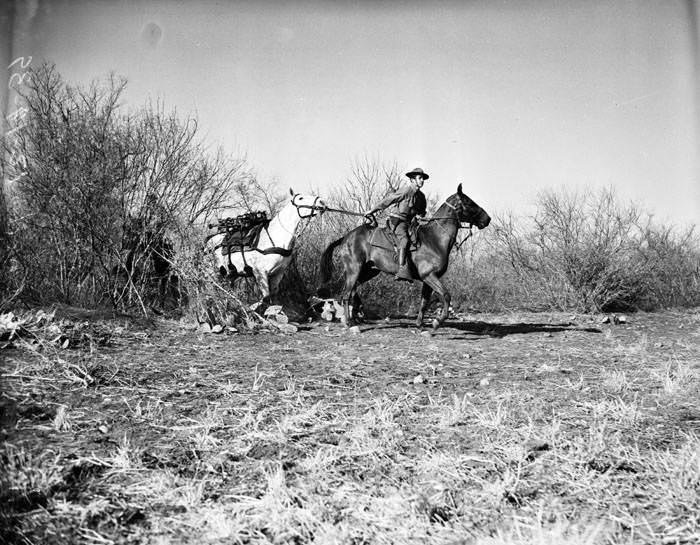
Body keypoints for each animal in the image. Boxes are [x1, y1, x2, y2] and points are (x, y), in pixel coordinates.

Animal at [320, 183, 490, 330]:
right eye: (468, 202)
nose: (487, 219)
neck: (434, 239)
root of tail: (346, 237)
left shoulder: (428, 280)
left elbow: (424, 302)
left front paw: (420, 324)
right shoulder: (429, 276)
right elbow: (446, 296)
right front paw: (437, 322)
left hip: (368, 272)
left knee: (353, 292)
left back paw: (355, 319)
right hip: (354, 270)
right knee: (346, 294)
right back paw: (349, 322)